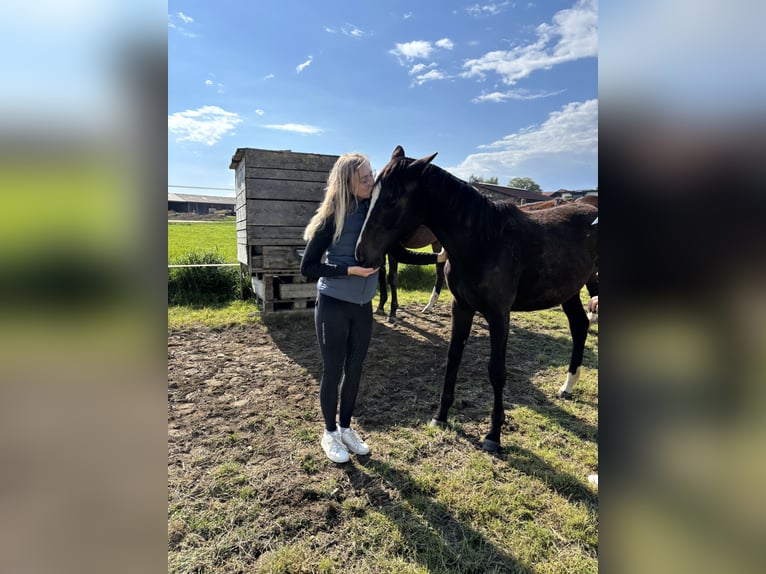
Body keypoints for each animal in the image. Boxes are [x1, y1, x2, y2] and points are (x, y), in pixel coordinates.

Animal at [356, 146, 598, 451]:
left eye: (391, 199)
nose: (361, 253)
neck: (484, 241)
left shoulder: (498, 314)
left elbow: (496, 370)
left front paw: (494, 434)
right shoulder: (461, 307)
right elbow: (453, 357)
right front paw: (440, 415)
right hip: (569, 291)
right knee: (579, 326)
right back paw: (567, 386)